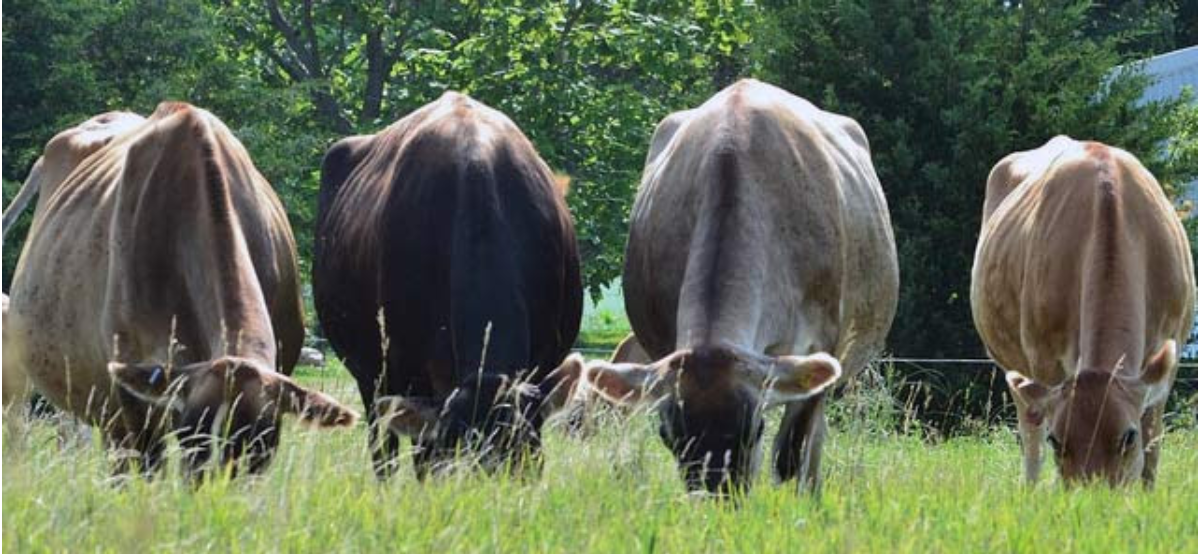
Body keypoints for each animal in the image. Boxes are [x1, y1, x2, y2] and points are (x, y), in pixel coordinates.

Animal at [969, 136, 1195, 486]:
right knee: (1030, 437)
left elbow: (1151, 457)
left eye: (1128, 437)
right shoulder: (1043, 359)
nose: (1093, 494)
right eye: (1057, 440)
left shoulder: (1167, 359)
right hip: (1015, 368)